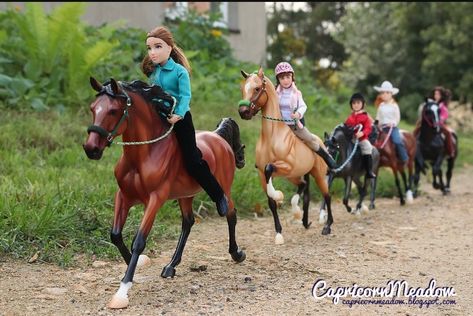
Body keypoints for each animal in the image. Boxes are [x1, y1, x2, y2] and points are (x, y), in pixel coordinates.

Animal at [82, 77, 247, 308]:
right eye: (92, 108)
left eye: (113, 111)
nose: (91, 149)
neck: (143, 156)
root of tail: (218, 137)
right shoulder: (123, 196)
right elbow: (115, 235)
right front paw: (136, 265)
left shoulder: (155, 199)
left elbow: (139, 241)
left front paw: (122, 290)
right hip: (185, 195)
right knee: (188, 222)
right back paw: (171, 266)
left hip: (225, 188)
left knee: (230, 213)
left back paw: (236, 253)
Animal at [236, 67, 332, 244]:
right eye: (242, 89)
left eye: (257, 89)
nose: (243, 112)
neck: (272, 137)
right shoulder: (262, 174)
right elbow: (271, 201)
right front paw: (279, 233)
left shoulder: (285, 167)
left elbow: (270, 168)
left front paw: (279, 195)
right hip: (294, 176)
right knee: (303, 186)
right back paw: (301, 217)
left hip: (317, 175)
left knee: (326, 196)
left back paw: (327, 227)